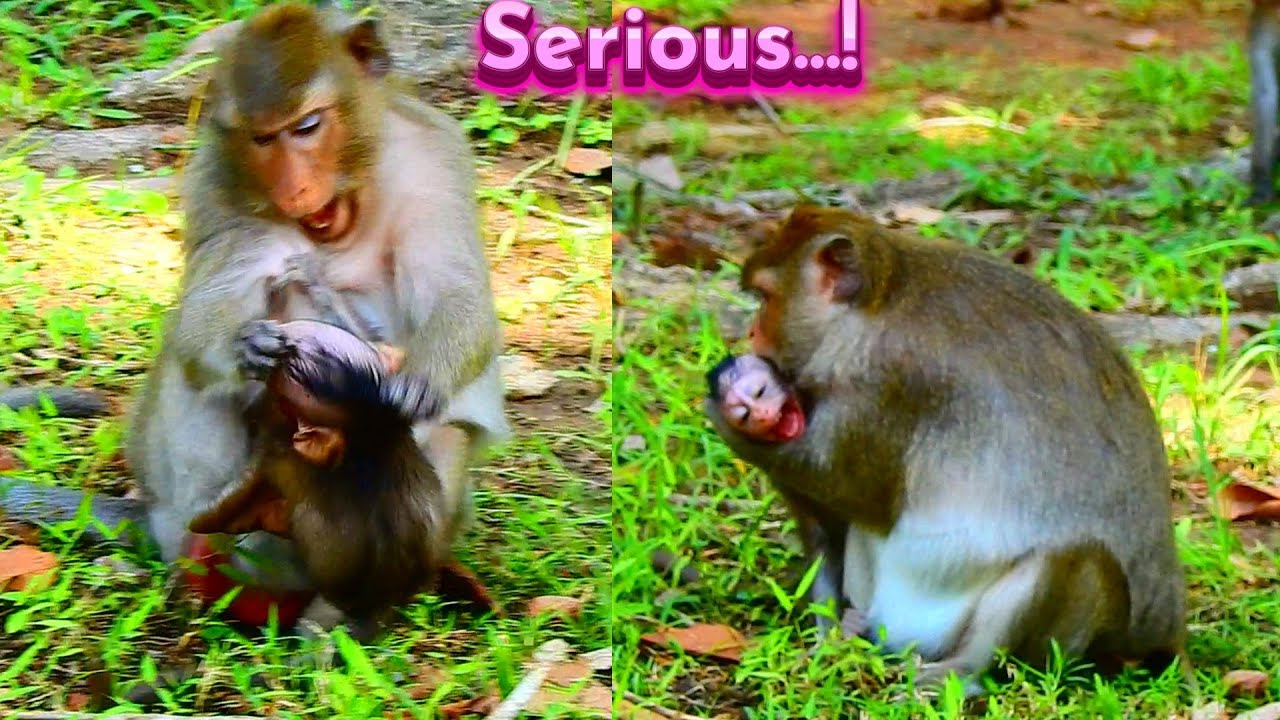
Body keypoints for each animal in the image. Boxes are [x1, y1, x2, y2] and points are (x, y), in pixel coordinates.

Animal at [704, 205, 1187, 696]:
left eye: (765, 298)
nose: (750, 332)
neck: (877, 302)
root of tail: (1168, 629)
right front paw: (827, 640)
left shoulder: (889, 379)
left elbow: (861, 496)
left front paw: (724, 419)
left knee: (1078, 560)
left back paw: (963, 672)